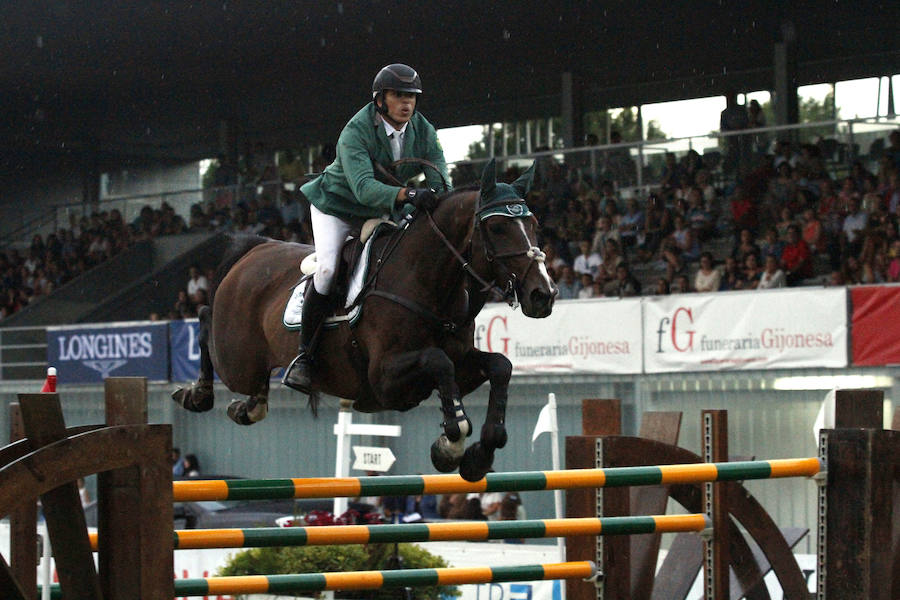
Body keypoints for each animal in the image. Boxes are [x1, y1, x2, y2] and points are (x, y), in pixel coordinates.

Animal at [172, 157, 556, 480]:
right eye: (498, 228)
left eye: (534, 224)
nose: (544, 295)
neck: (428, 281)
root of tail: (254, 249)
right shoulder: (384, 379)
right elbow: (439, 361)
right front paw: (452, 444)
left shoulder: (462, 365)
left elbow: (500, 367)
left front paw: (479, 455)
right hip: (236, 359)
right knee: (205, 323)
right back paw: (198, 394)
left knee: (250, 387)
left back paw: (248, 405)